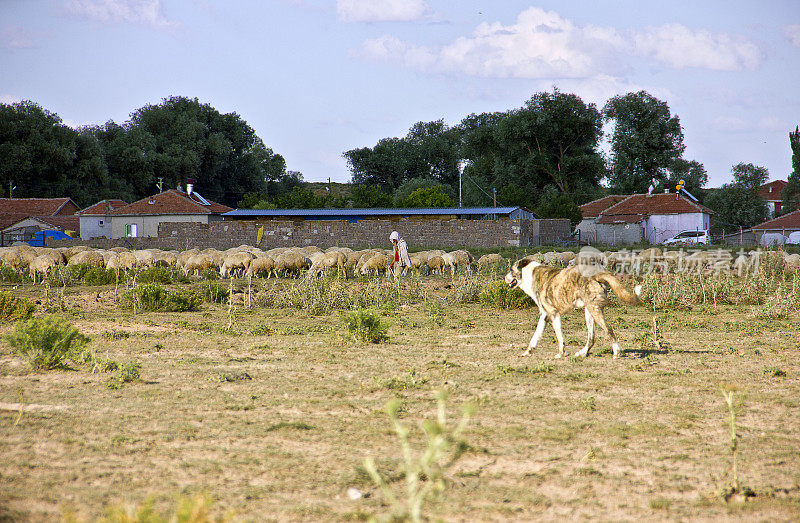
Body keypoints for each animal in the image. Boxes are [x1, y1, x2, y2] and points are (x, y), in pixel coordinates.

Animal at [506, 258, 644, 360]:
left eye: (511, 270)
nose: (504, 278)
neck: (529, 273)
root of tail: (596, 274)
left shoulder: (554, 314)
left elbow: (560, 338)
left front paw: (561, 354)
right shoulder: (545, 315)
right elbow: (535, 337)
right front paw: (528, 352)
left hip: (594, 311)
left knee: (609, 330)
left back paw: (616, 352)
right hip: (589, 313)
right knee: (592, 338)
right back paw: (582, 353)